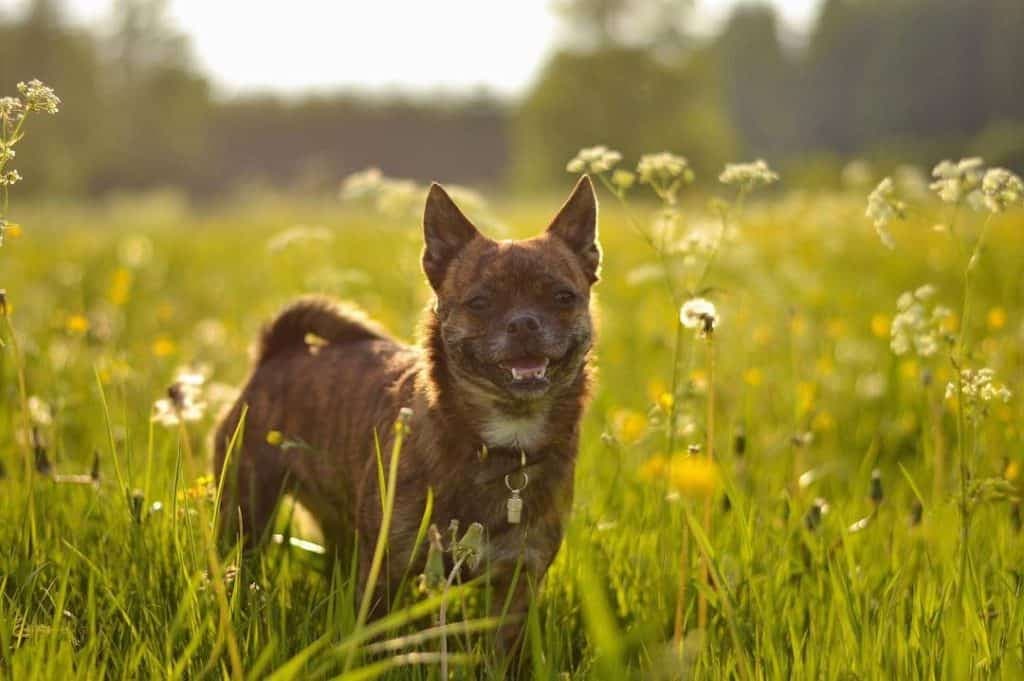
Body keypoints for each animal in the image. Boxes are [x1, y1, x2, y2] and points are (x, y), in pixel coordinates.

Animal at [214, 175, 598, 647]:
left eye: (564, 297)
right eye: (480, 303)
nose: (524, 322)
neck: (500, 445)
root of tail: (279, 351)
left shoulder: (516, 587)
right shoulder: (386, 572)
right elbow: (374, 643)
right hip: (244, 517)